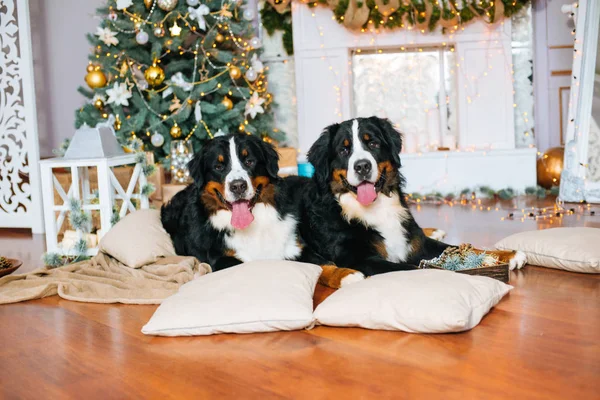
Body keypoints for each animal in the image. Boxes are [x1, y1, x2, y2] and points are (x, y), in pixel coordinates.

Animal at [300, 115, 524, 278]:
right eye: (344, 150)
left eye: (373, 144)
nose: (362, 166)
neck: (377, 208)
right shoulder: (360, 259)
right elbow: (418, 269)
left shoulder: (419, 244)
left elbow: (464, 247)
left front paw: (508, 254)